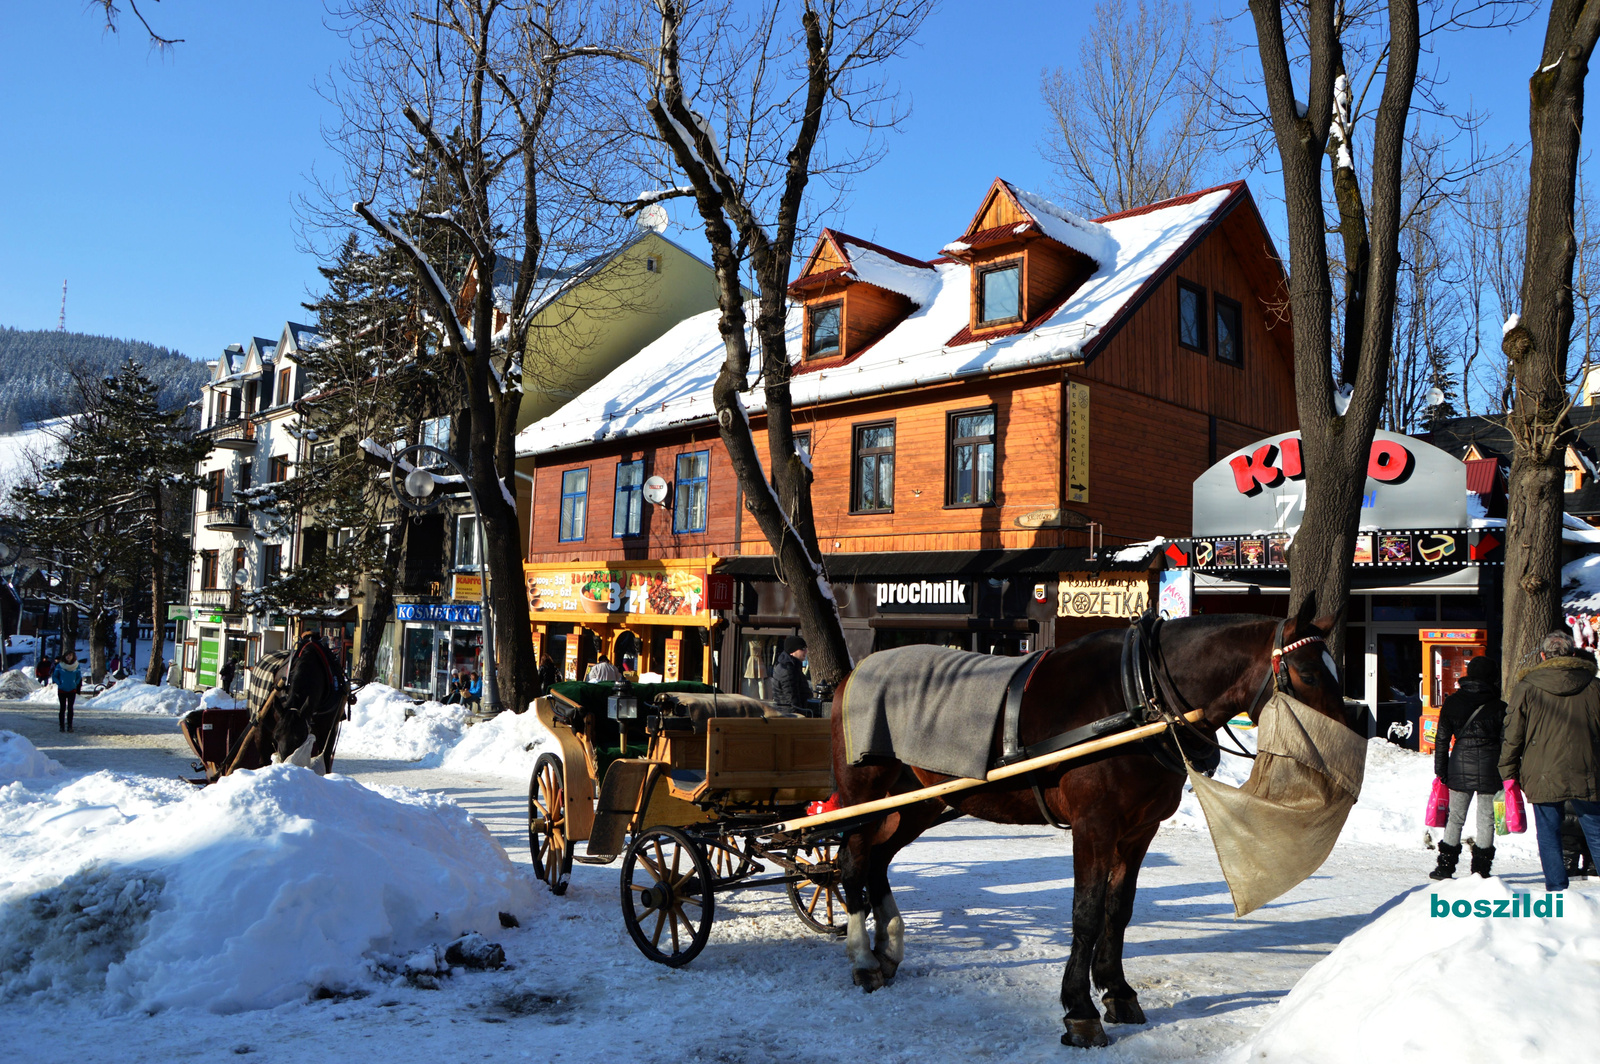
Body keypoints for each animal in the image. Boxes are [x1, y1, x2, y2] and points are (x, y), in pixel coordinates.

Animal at [832, 611, 1356, 1049]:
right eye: (1309, 673)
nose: (1350, 742)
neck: (1135, 699)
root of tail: (853, 673)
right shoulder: (1093, 827)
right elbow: (1085, 913)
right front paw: (1079, 1010)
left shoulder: (1138, 831)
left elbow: (1118, 910)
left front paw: (1118, 990)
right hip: (864, 793)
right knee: (852, 862)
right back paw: (862, 959)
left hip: (918, 800)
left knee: (878, 859)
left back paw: (888, 947)